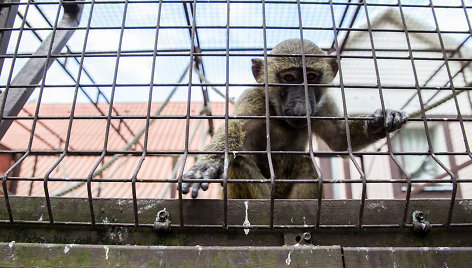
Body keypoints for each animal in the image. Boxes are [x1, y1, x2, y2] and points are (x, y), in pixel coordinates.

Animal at [179, 39, 408, 199]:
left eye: (311, 78)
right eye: (289, 78)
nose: (301, 106)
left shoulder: (321, 105)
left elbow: (340, 140)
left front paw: (381, 121)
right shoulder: (255, 99)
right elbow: (235, 126)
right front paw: (206, 166)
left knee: (308, 166)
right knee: (237, 164)